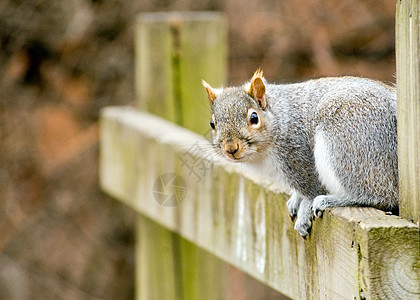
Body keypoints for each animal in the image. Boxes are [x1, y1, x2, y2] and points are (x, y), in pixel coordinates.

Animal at [202, 70, 398, 237]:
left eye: (254, 118)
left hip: (346, 143)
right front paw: (295, 199)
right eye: (212, 124)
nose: (231, 149)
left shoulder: (299, 156)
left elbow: (311, 190)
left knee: (376, 193)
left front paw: (304, 211)